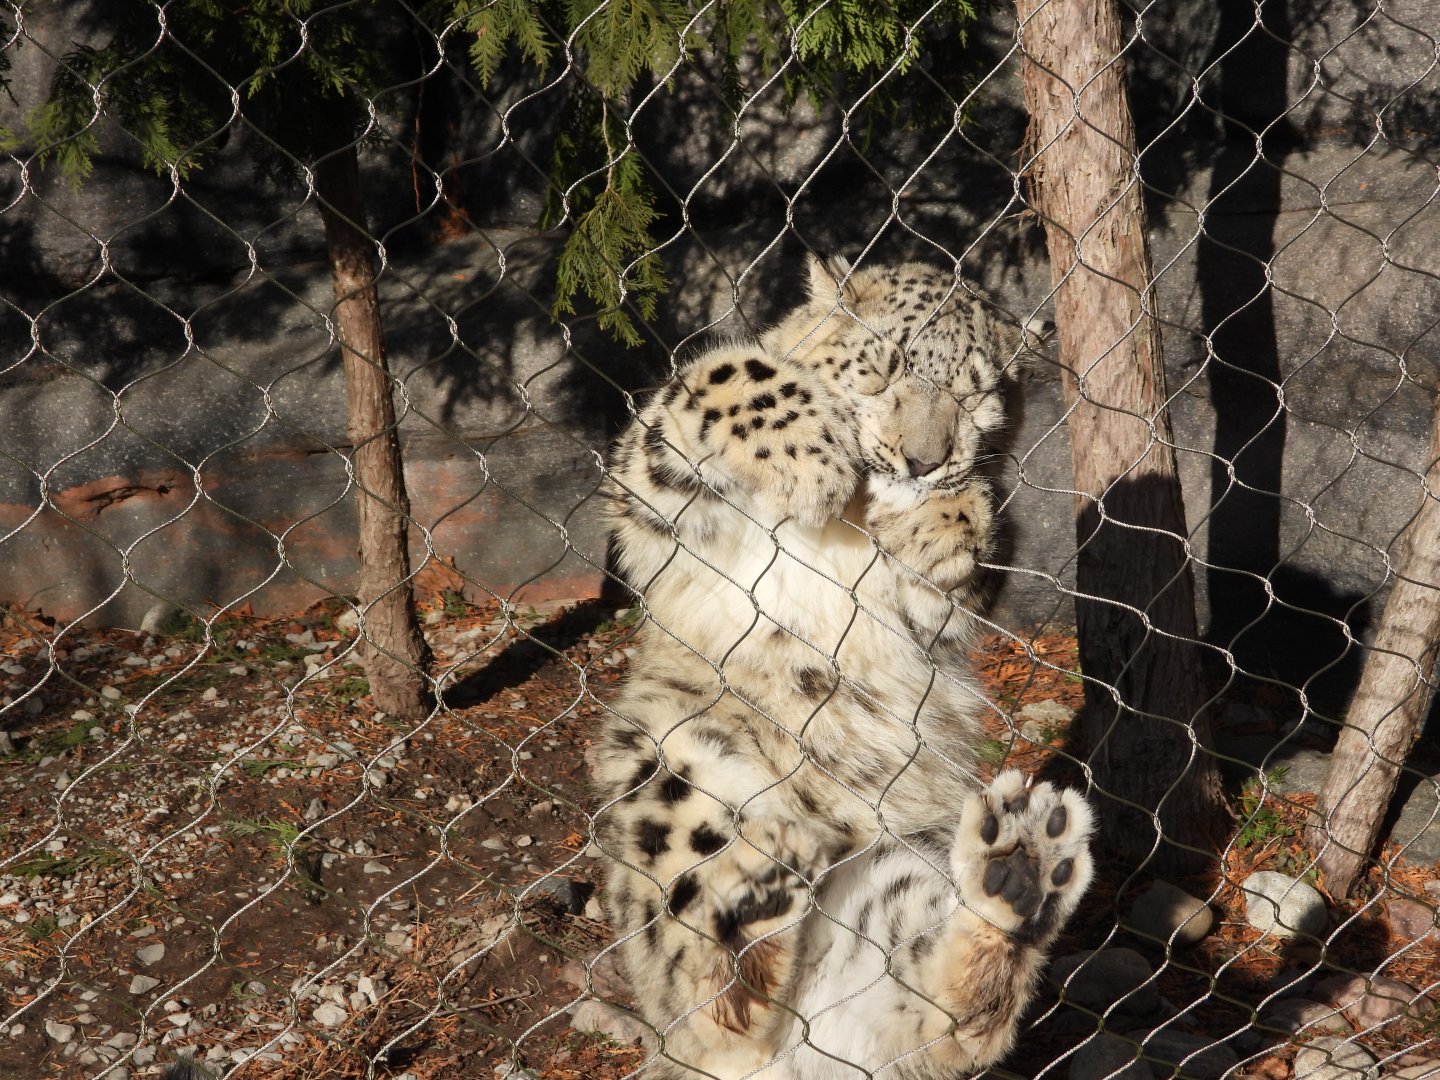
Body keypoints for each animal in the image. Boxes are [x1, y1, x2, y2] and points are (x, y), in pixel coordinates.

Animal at [590, 255, 1093, 1079]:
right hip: (669, 756)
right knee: (709, 994)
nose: (922, 459)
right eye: (884, 364)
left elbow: (974, 549)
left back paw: (1020, 864)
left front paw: (942, 518)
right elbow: (724, 374)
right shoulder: (655, 502)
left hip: (898, 879)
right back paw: (748, 911)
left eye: (974, 392)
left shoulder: (944, 612)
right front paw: (819, 459)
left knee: (940, 1018)